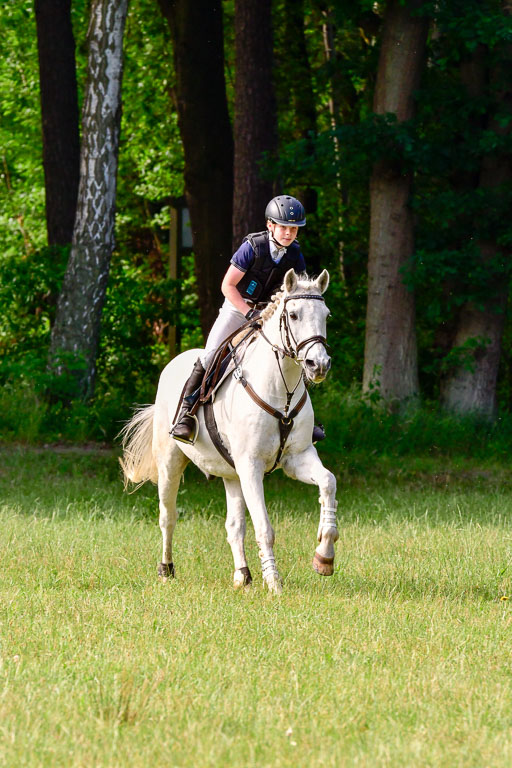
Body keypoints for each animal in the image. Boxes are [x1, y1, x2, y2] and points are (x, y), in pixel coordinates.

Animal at [118, 270, 338, 592]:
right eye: (294, 315)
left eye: (326, 315)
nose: (318, 364)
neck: (281, 391)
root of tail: (173, 363)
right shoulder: (251, 465)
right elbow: (264, 527)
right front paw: (274, 583)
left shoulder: (297, 457)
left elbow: (328, 483)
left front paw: (324, 555)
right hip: (170, 461)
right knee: (168, 516)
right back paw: (166, 569)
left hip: (231, 473)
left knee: (234, 526)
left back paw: (242, 575)